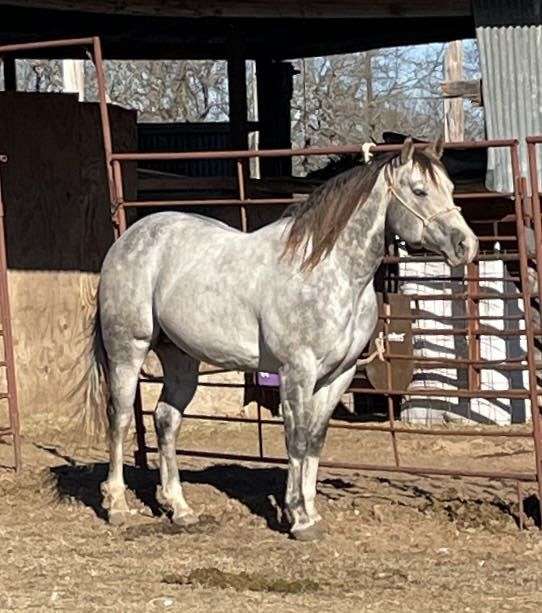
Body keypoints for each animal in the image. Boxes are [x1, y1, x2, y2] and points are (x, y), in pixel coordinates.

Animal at [83, 136, 478, 536]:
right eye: (419, 190)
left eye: (450, 188)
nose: (467, 245)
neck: (329, 271)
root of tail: (128, 239)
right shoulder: (297, 371)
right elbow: (296, 439)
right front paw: (299, 518)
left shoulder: (340, 375)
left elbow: (315, 439)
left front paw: (309, 512)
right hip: (128, 350)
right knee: (120, 417)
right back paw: (117, 506)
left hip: (181, 357)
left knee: (166, 419)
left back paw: (180, 508)